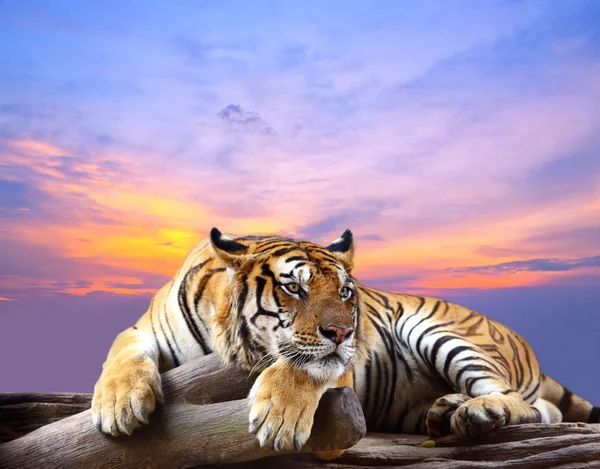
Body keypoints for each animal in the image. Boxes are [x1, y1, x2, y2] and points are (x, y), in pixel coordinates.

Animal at [91, 227, 596, 454]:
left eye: (346, 292)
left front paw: (278, 419)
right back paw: (446, 410)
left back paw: (476, 412)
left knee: (523, 404)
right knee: (543, 409)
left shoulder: (336, 364)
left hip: (441, 332)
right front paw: (119, 405)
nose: (344, 332)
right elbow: (121, 353)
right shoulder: (142, 330)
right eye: (294, 288)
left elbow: (304, 366)